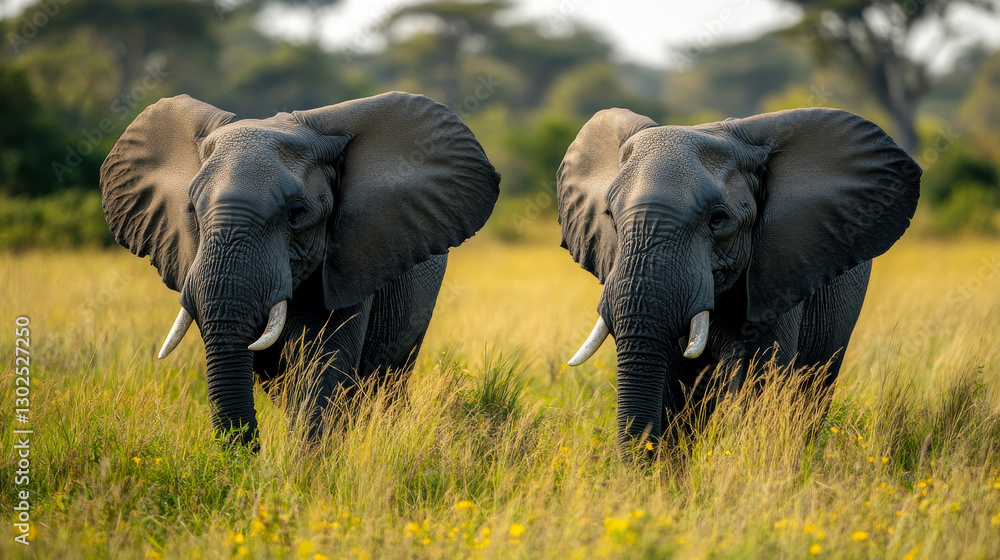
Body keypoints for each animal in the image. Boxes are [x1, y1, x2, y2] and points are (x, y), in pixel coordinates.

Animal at [100, 92, 500, 448]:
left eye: (296, 214)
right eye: (193, 211)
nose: (247, 460)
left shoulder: (351, 259)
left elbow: (320, 364)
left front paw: (305, 470)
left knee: (388, 380)